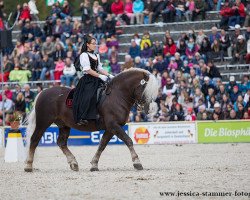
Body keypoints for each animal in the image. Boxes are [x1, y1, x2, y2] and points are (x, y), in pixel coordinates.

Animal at [25, 68, 158, 172]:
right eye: (146, 88)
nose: (151, 109)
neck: (117, 95)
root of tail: (43, 92)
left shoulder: (111, 128)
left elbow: (102, 145)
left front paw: (94, 164)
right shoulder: (114, 125)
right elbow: (128, 140)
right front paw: (137, 162)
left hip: (64, 125)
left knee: (61, 143)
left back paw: (73, 163)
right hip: (43, 122)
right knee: (34, 140)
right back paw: (28, 166)